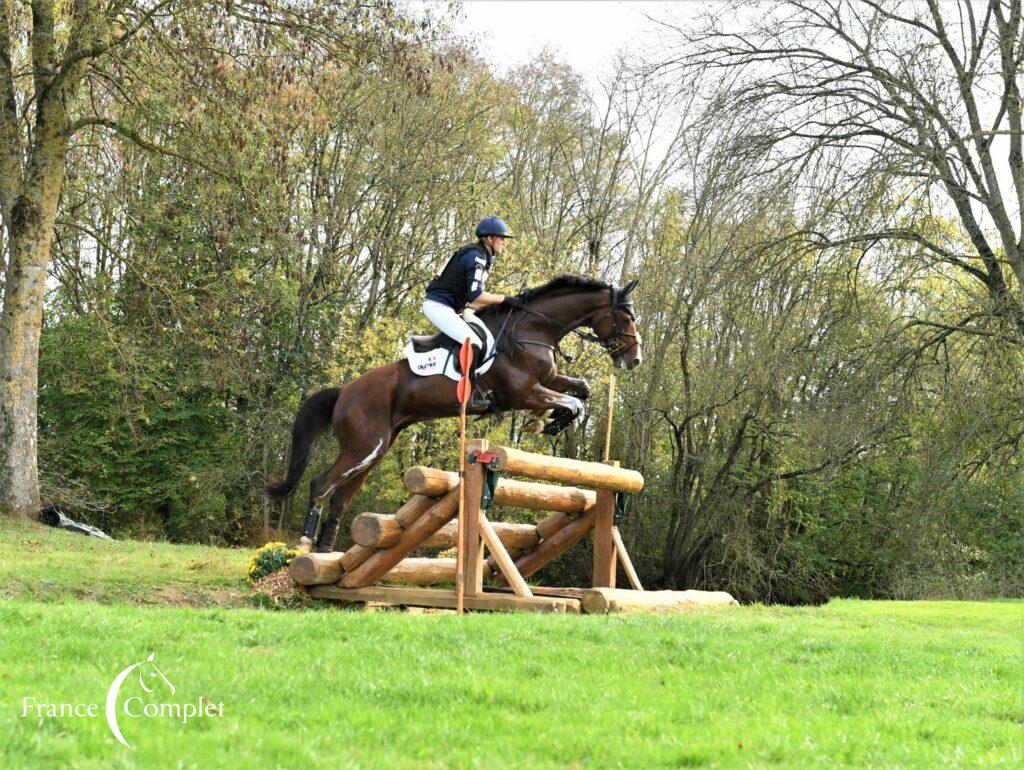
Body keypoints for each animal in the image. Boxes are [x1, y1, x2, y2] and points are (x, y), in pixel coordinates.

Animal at [268, 274, 643, 548]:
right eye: (626, 317)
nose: (634, 359)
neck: (532, 329)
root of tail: (345, 390)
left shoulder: (548, 380)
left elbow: (582, 389)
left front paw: (547, 422)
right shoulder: (523, 393)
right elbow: (573, 401)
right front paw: (545, 424)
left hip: (373, 451)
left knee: (341, 499)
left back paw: (324, 553)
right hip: (363, 447)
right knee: (321, 485)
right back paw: (304, 543)